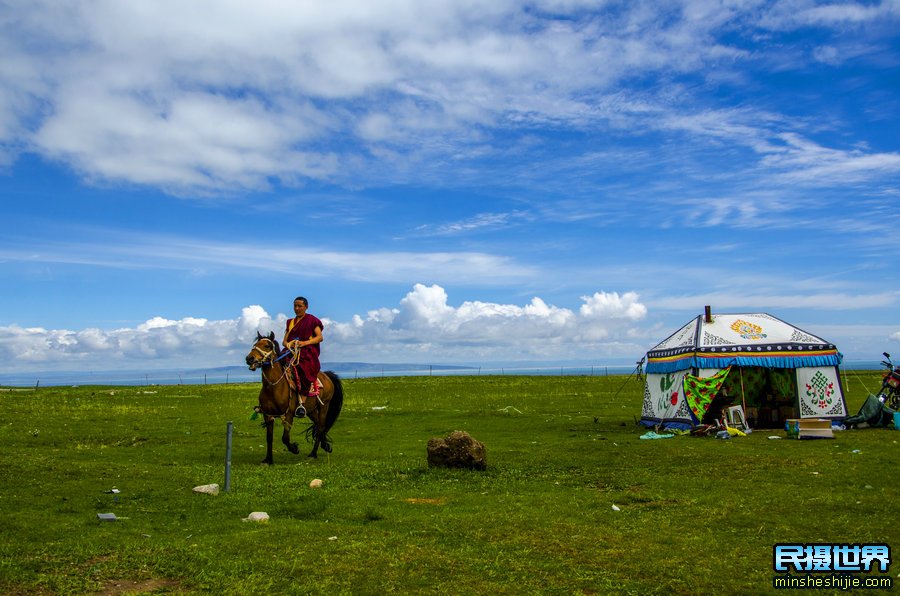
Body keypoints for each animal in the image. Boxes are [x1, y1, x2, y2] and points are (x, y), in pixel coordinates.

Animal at [244, 332, 342, 464]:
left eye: (267, 346)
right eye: (255, 344)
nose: (249, 359)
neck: (273, 387)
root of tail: (326, 375)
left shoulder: (288, 415)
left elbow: (285, 438)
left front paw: (295, 448)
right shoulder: (268, 415)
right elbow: (269, 438)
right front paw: (268, 459)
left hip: (324, 406)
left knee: (321, 427)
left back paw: (313, 453)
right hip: (311, 410)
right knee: (318, 426)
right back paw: (325, 445)